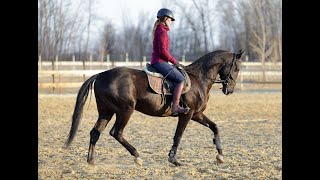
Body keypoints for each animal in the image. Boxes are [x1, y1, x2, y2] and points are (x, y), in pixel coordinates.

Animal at [64, 48, 245, 166]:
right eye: (236, 68)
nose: (230, 90)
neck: (198, 78)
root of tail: (101, 74)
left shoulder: (197, 114)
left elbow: (215, 127)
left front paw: (220, 155)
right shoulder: (187, 114)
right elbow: (178, 135)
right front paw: (173, 159)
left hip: (106, 111)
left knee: (95, 132)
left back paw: (91, 161)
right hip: (125, 110)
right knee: (116, 132)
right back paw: (137, 156)